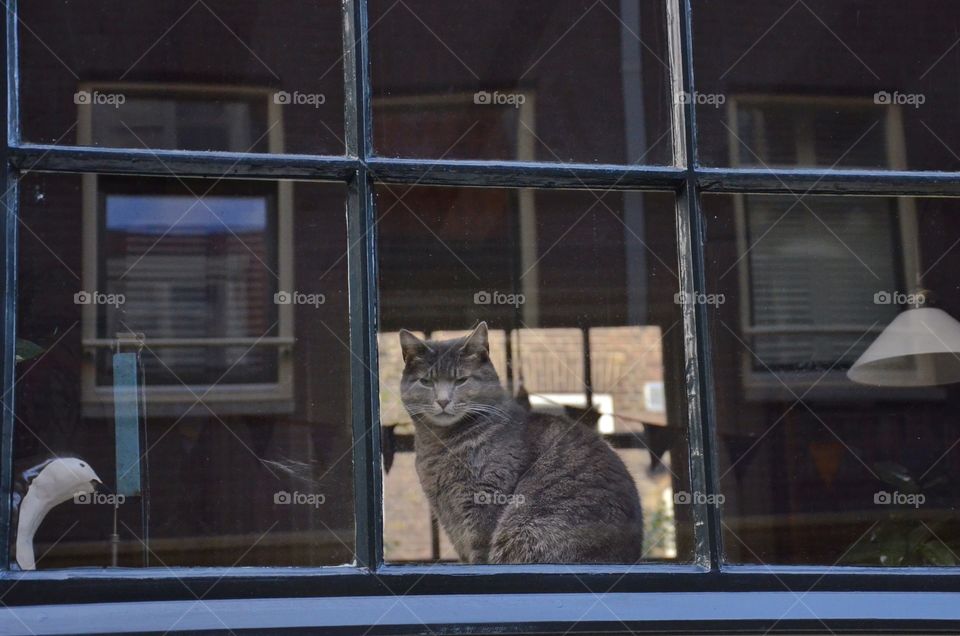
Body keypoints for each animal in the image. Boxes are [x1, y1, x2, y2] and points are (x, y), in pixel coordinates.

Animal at [398, 322, 644, 560]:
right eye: (426, 381)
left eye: (461, 380)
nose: (442, 400)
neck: (441, 444)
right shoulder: (449, 519)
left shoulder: (485, 501)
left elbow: (480, 555)